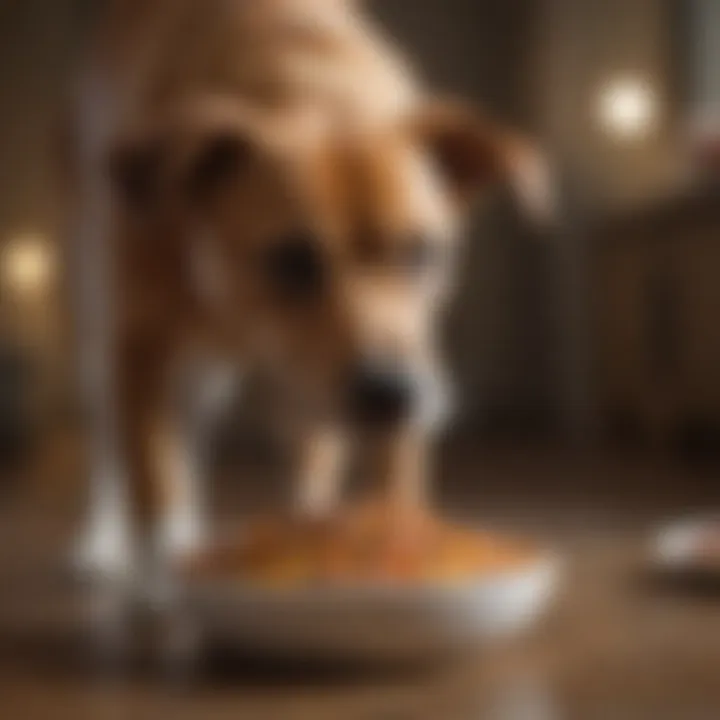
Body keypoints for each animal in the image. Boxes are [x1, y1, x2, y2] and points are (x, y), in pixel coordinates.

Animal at [69, 0, 552, 584]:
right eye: (291, 259)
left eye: (423, 251)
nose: (392, 394)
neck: (314, 90)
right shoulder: (140, 341)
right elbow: (154, 476)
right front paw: (166, 567)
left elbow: (379, 482)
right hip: (109, 330)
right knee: (115, 443)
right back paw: (106, 541)